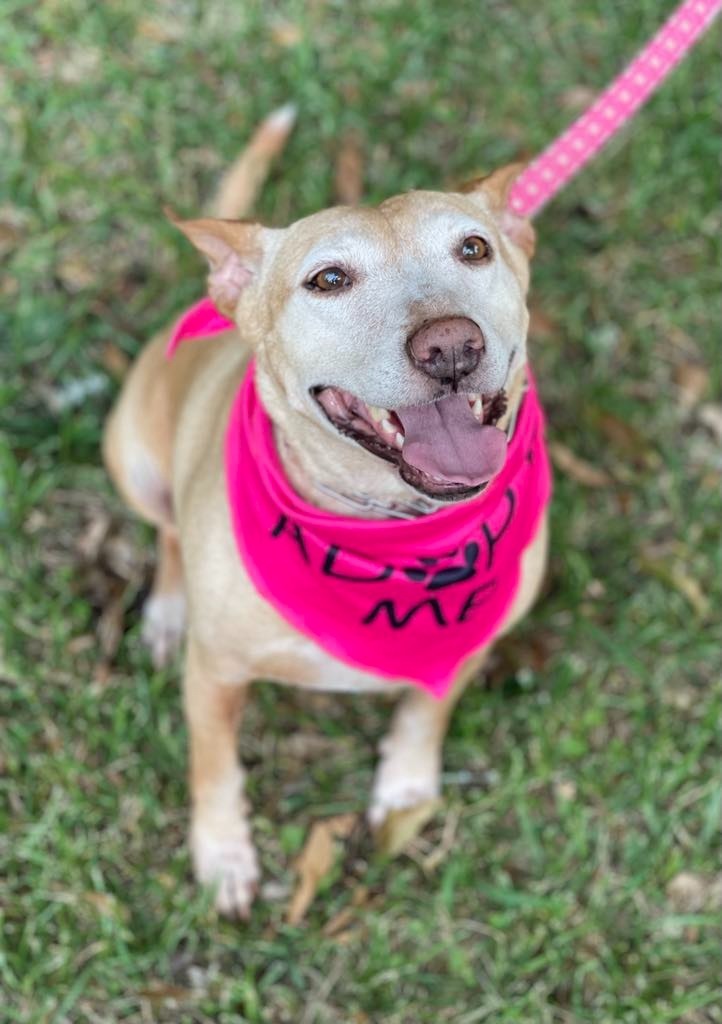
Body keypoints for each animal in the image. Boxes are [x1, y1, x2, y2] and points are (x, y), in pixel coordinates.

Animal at [104, 108, 548, 917]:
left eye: (473, 248)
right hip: (134, 462)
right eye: (329, 280)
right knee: (168, 533)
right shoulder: (214, 675)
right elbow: (214, 767)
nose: (451, 346)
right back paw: (166, 612)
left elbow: (426, 708)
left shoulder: (471, 642)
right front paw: (223, 854)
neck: (391, 526)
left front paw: (406, 786)